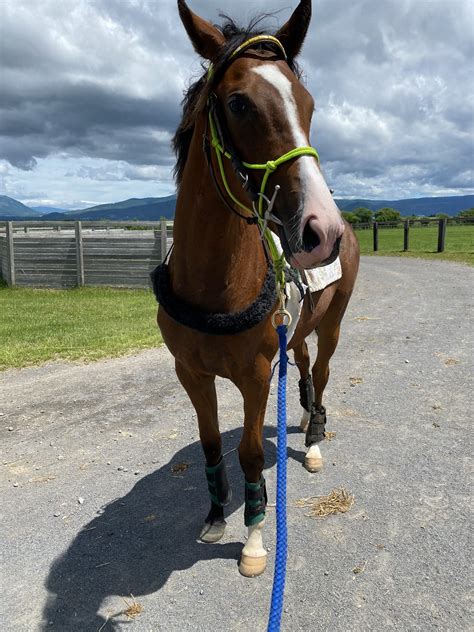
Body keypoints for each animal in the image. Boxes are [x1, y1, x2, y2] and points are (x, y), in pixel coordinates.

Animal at [153, 0, 360, 576]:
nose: (321, 231)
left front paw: (253, 535)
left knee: (324, 370)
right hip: (301, 325)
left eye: (308, 103)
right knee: (306, 363)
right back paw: (306, 411)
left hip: (334, 321)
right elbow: (207, 444)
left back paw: (314, 437)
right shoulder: (191, 372)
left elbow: (248, 452)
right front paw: (215, 515)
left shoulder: (255, 375)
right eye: (239, 103)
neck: (214, 286)